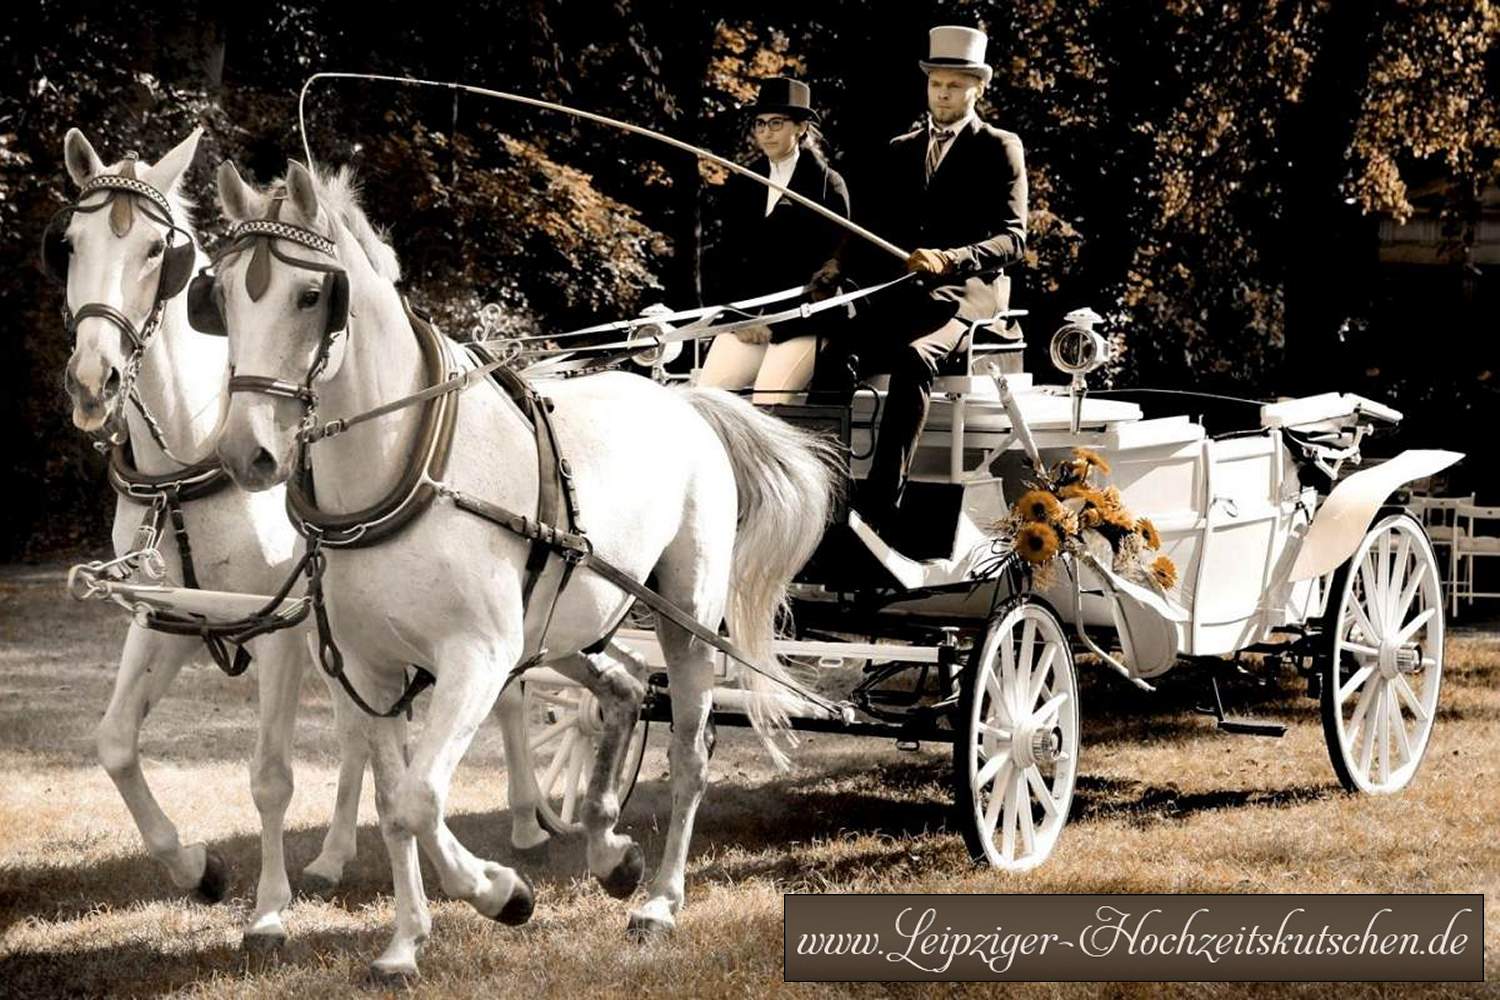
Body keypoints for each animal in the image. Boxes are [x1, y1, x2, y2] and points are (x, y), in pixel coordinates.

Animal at [207, 160, 840, 983]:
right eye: (221, 294)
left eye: (311, 295)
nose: (245, 452)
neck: (407, 469)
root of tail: (685, 402)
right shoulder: (373, 669)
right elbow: (393, 806)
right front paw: (405, 943)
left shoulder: (477, 657)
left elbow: (421, 798)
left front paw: (501, 892)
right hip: (565, 627)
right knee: (625, 687)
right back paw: (609, 852)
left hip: (686, 617)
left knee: (688, 752)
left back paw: (660, 901)